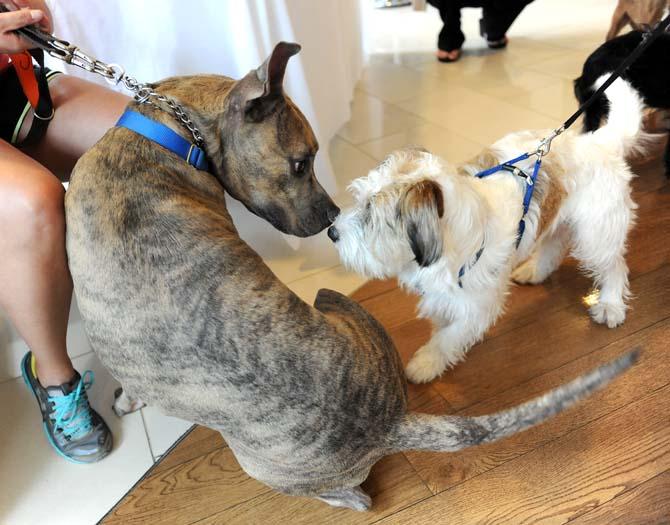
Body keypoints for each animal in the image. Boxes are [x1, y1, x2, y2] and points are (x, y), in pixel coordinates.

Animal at [334, 78, 648, 380]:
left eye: (370, 216)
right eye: (359, 200)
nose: (332, 233)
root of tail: (599, 142)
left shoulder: (477, 305)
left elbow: (449, 337)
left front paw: (426, 364)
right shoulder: (442, 297)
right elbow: (443, 326)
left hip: (597, 233)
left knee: (614, 266)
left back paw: (610, 305)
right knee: (554, 246)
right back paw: (535, 272)